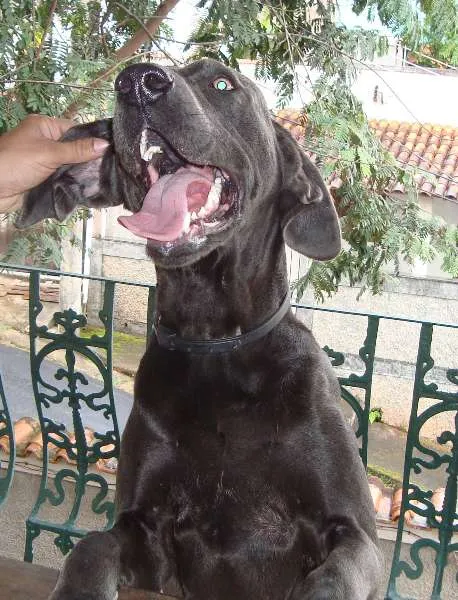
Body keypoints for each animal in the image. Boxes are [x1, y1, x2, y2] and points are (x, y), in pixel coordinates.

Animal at [17, 59, 382, 600]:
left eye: (222, 82)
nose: (136, 81)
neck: (216, 343)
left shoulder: (354, 532)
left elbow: (336, 576)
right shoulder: (145, 528)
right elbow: (91, 547)